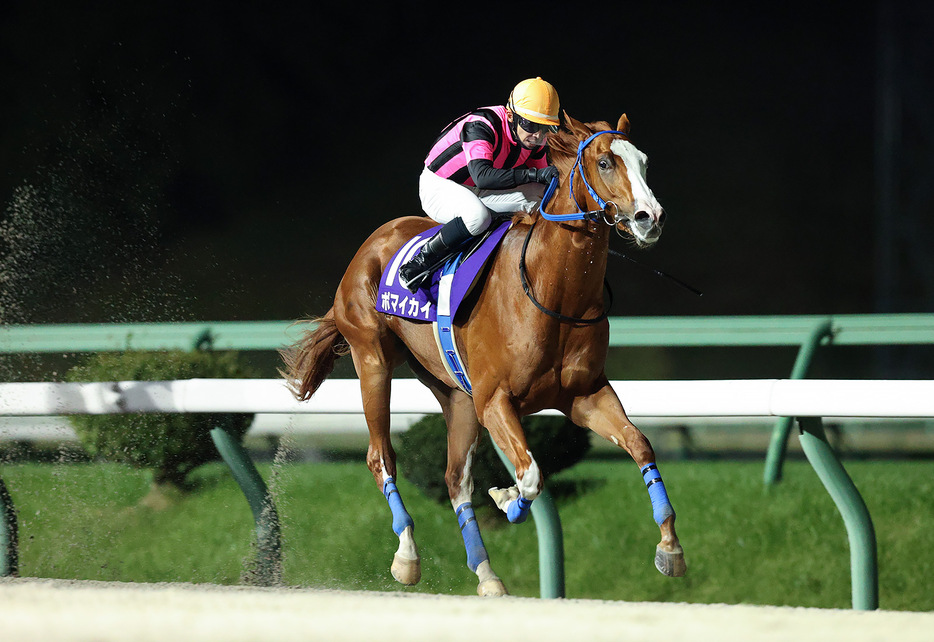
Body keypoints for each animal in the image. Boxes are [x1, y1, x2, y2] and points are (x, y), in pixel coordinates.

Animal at [280, 110, 688, 596]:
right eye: (605, 162)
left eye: (643, 160)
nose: (651, 217)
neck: (551, 291)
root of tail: (371, 244)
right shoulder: (495, 400)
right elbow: (530, 475)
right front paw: (507, 497)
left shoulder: (584, 395)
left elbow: (640, 445)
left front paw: (669, 547)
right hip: (373, 359)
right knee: (381, 457)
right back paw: (407, 556)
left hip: (456, 395)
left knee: (455, 479)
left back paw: (486, 573)